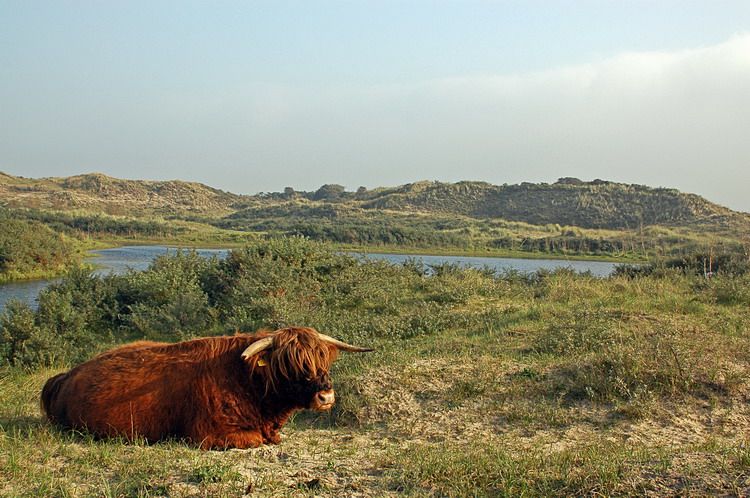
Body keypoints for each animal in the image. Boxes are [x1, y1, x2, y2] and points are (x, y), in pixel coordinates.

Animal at [39, 328, 374, 450]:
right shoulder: (208, 433)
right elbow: (257, 440)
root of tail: (68, 375)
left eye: (322, 360)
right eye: (288, 365)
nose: (326, 395)